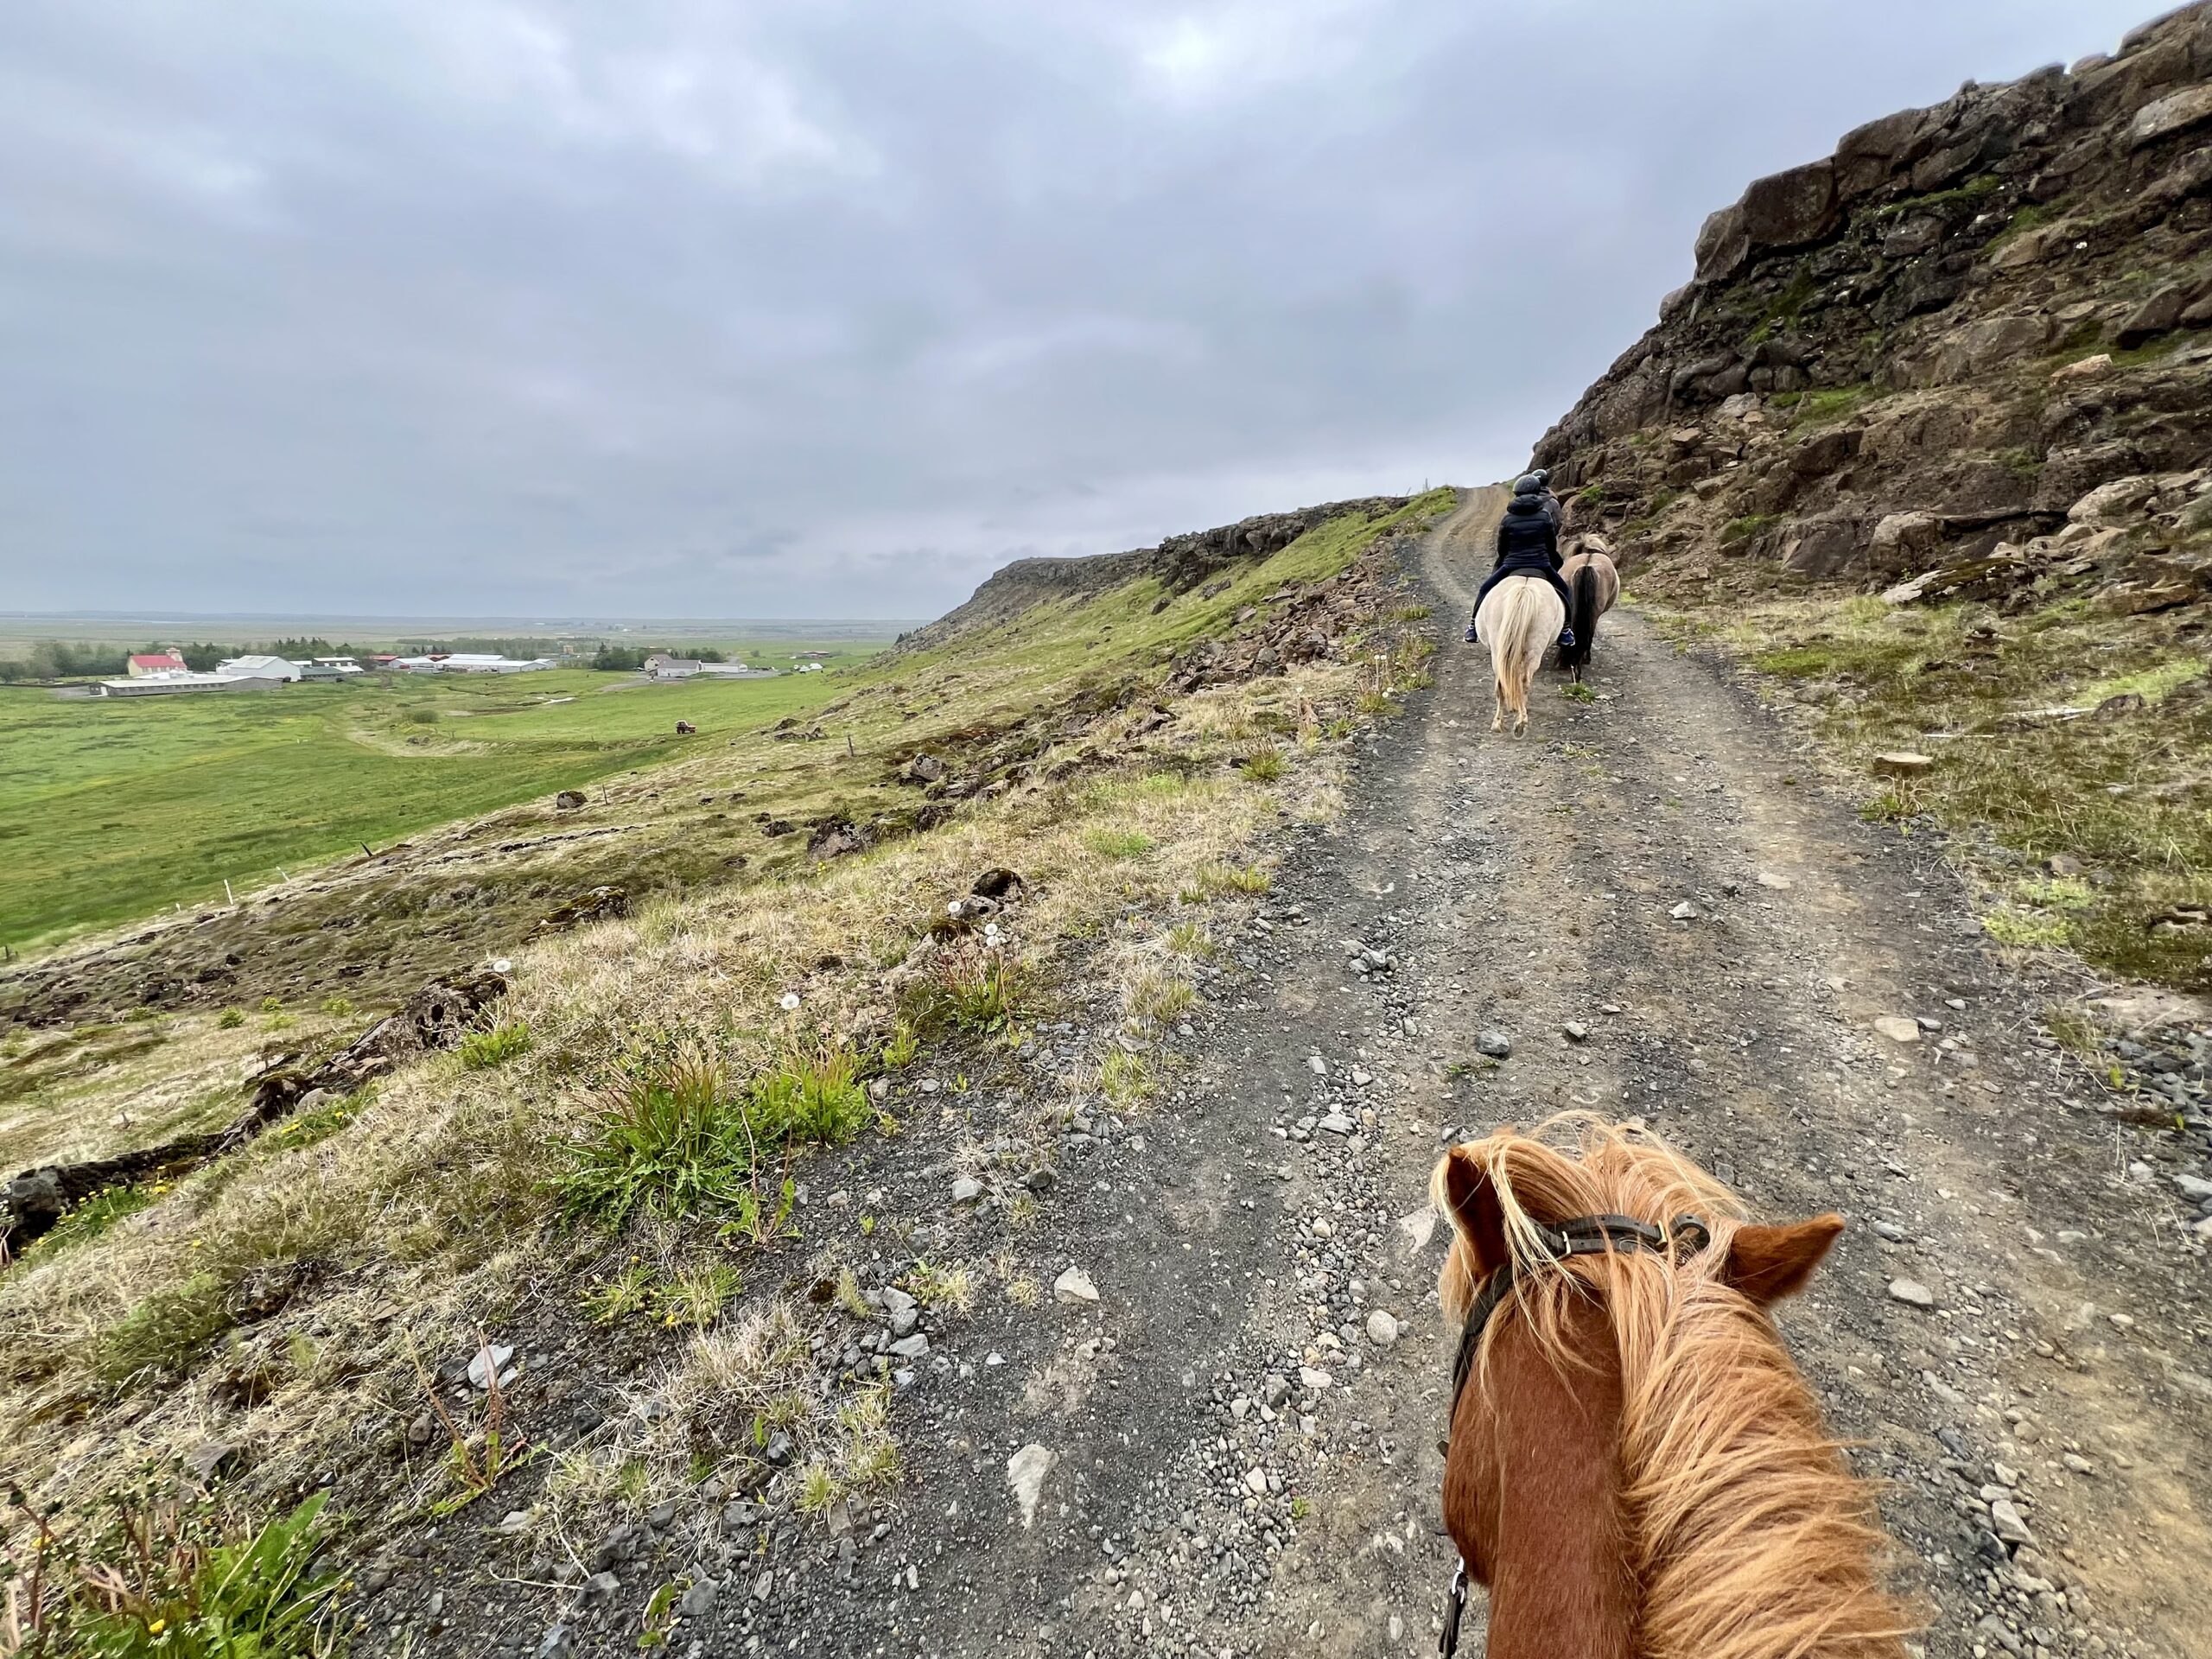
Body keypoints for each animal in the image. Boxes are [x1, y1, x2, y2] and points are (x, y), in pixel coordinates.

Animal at [1478, 583, 1566, 739]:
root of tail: (1525, 589)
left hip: (1499, 651)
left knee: (1503, 683)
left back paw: (1501, 723)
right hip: (1533, 651)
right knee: (1524, 682)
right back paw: (1520, 722)